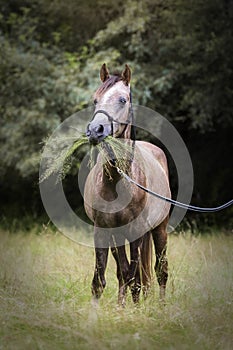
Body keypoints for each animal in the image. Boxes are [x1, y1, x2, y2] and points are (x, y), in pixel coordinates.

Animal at [84, 63, 171, 306]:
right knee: (124, 272)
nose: (95, 130)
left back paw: (161, 306)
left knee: (160, 270)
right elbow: (104, 279)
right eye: (95, 100)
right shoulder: (103, 230)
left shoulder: (136, 231)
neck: (116, 180)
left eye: (122, 99)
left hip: (159, 229)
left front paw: (135, 309)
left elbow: (135, 277)